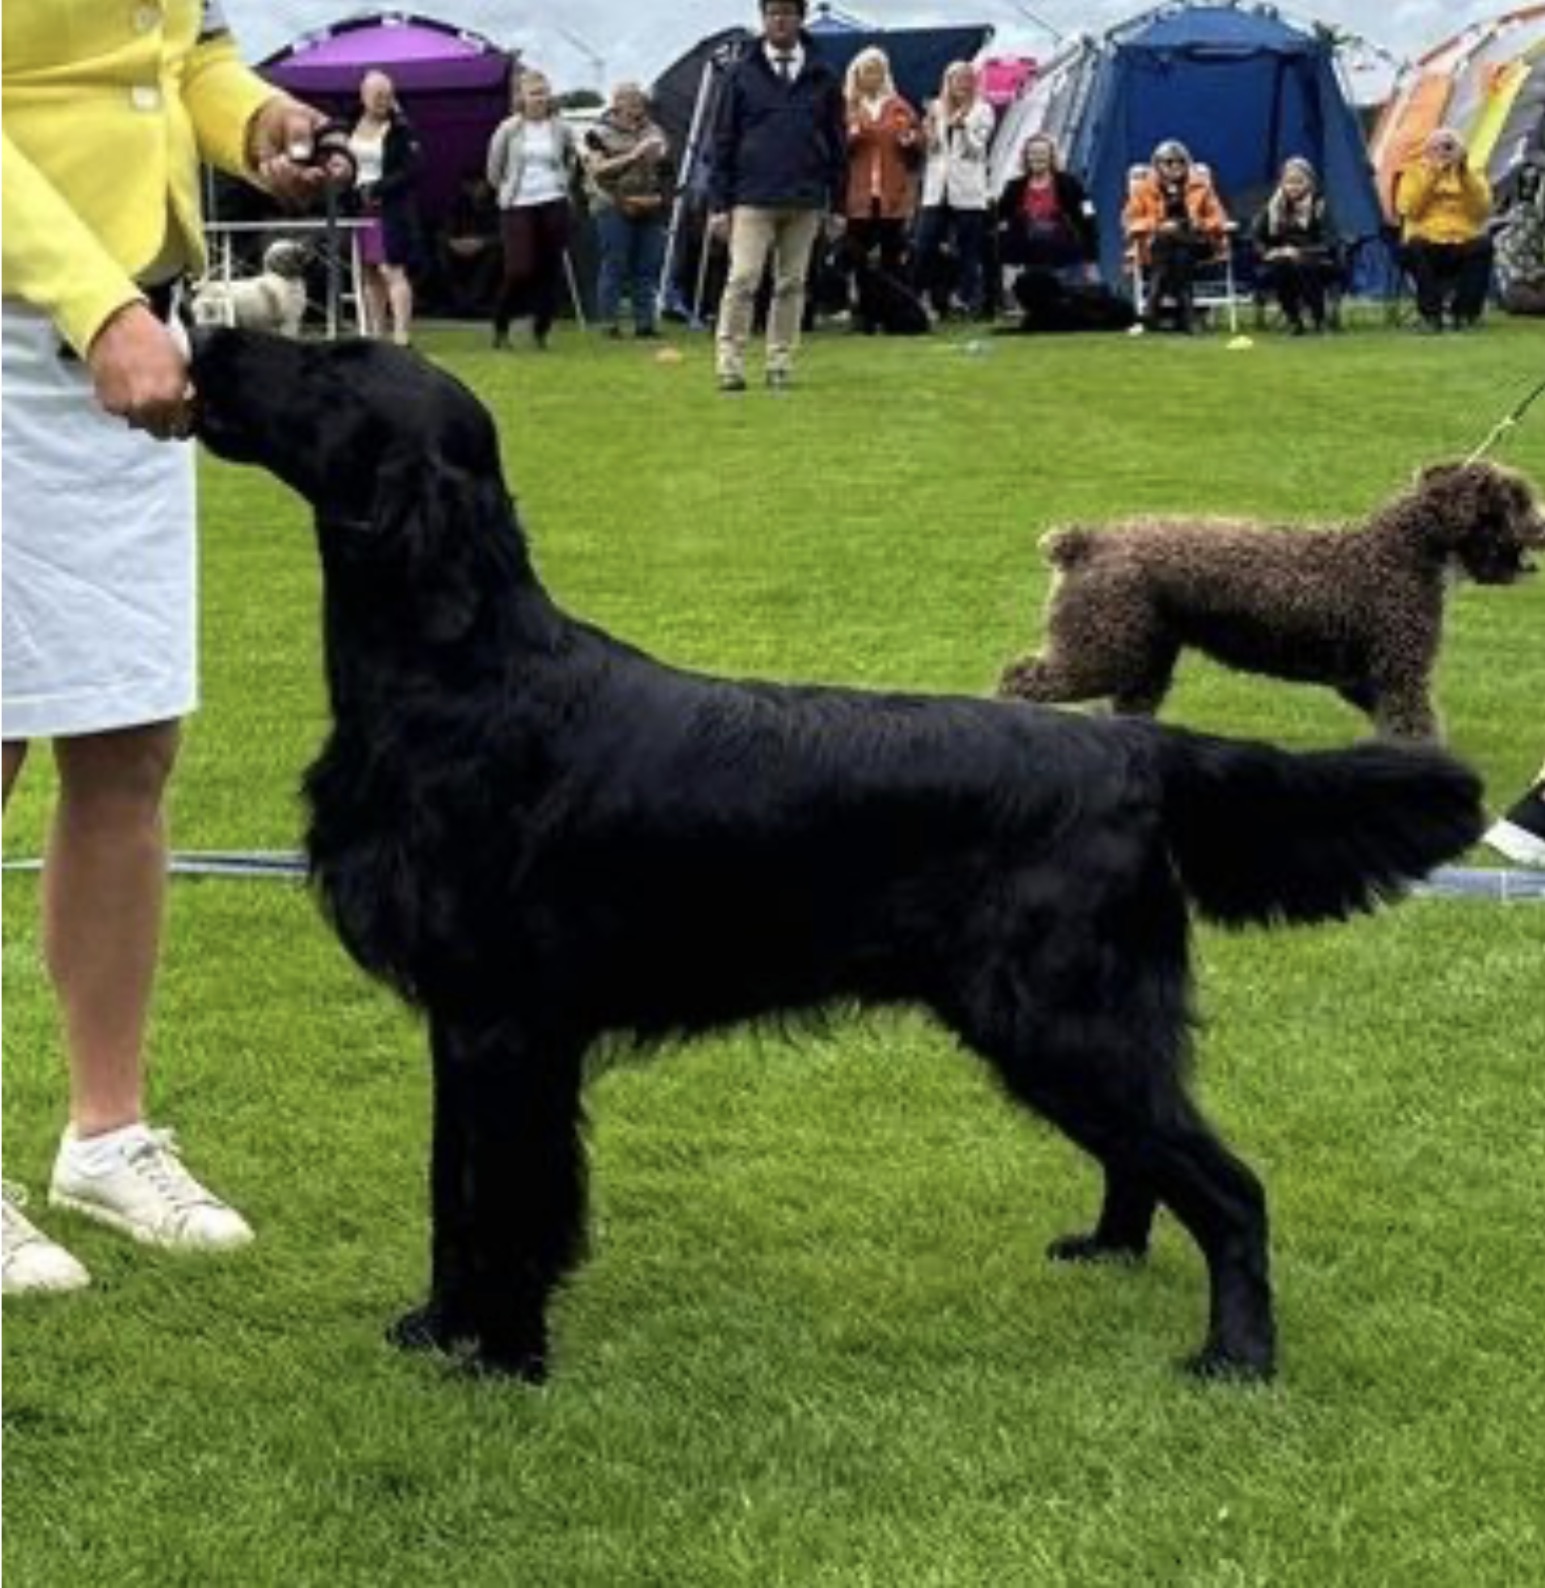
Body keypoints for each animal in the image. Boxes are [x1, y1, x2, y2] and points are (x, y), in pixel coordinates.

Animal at [190, 329, 1482, 1385]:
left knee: (1229, 1186)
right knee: (1149, 1162)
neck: (457, 673)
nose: (203, 330)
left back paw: (1237, 1356)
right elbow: (451, 1193)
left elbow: (508, 1203)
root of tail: (1132, 744)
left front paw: (504, 1356)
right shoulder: (463, 1024)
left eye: (333, 364)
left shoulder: (510, 1024)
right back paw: (1110, 1249)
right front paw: (437, 1326)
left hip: (1065, 1018)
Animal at [1000, 463, 1544, 738]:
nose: (1541, 525)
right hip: (1101, 652)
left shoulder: (1371, 682)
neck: (1400, 549)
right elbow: (1418, 731)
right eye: (1515, 499)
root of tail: (1084, 541)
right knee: (1017, 680)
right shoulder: (1399, 676)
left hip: (1143, 661)